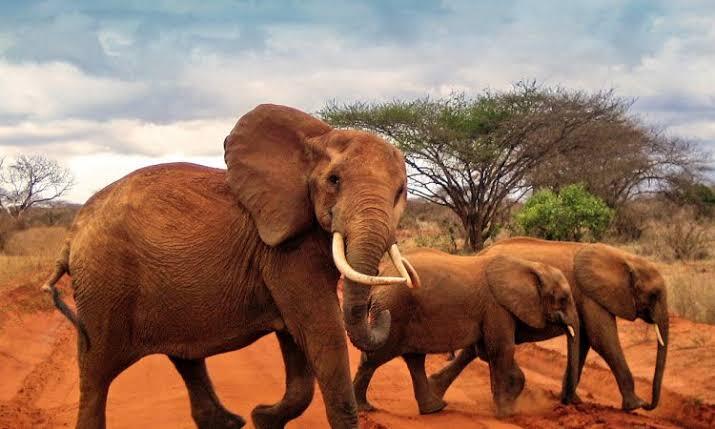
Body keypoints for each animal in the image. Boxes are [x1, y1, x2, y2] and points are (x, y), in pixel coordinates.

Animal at [41, 104, 419, 429]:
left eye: (400, 191)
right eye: (334, 180)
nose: (381, 312)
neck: (316, 140)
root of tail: (72, 233)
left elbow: (297, 344)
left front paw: (262, 419)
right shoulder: (286, 251)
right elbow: (321, 332)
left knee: (184, 357)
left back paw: (229, 423)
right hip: (104, 284)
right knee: (96, 375)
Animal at [352, 247, 580, 418]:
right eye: (563, 299)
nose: (566, 405)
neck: (529, 266)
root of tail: (380, 277)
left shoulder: (493, 311)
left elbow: (486, 351)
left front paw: (509, 403)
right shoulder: (496, 307)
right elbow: (501, 350)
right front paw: (506, 414)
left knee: (414, 360)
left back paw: (434, 408)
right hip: (393, 311)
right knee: (376, 358)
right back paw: (365, 409)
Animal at [432, 237, 668, 412]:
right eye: (654, 295)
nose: (649, 405)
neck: (624, 258)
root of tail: (478, 254)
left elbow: (584, 340)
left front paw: (573, 401)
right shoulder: (591, 295)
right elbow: (602, 339)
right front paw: (634, 405)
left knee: (477, 348)